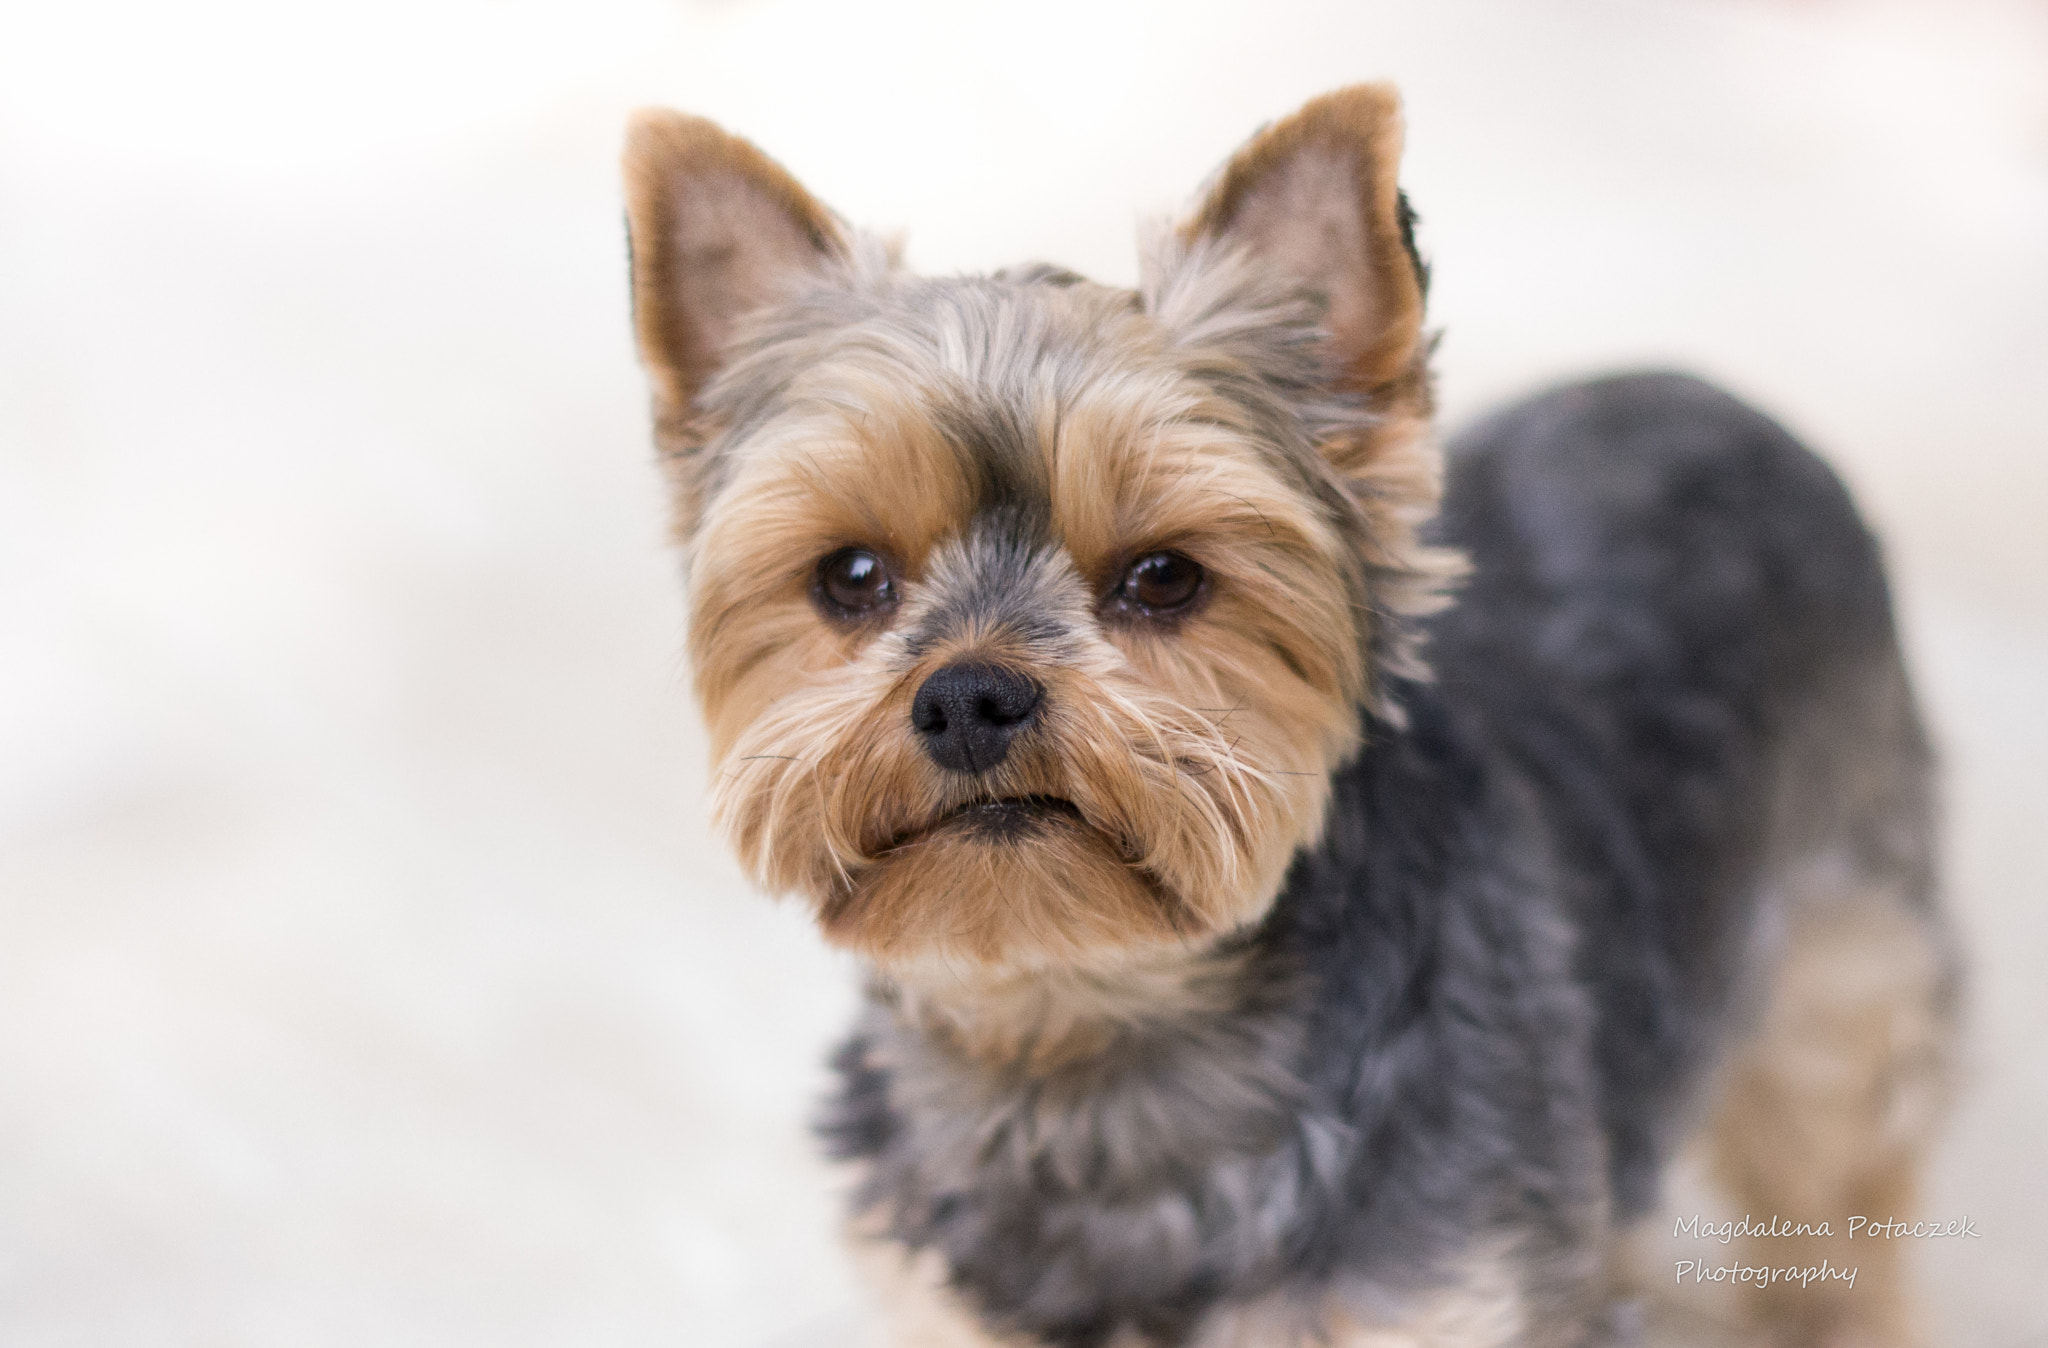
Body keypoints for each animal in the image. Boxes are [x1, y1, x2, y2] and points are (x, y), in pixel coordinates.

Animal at [618, 86, 1949, 1343]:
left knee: (1842, 1178)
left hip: (1842, 955)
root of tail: (1713, 392)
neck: (1086, 1038)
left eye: (1163, 577)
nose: (967, 695)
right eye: (849, 576)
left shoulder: (1447, 1291)